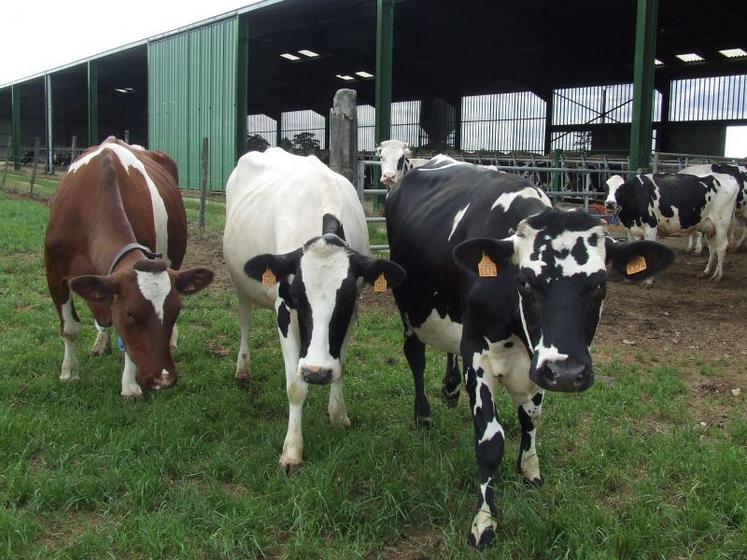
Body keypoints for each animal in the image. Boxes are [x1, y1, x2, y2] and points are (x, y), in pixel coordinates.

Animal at [44, 137, 213, 396]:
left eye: (176, 311)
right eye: (130, 314)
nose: (163, 379)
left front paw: (130, 386)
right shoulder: (54, 272)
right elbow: (70, 328)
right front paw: (69, 372)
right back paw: (101, 342)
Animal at [224, 148, 406, 472]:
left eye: (346, 299)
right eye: (297, 297)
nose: (317, 372)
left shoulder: (350, 314)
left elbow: (341, 363)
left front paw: (338, 415)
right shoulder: (284, 310)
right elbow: (295, 386)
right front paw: (292, 451)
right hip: (239, 281)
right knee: (245, 319)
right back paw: (242, 369)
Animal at [388, 155, 676, 548]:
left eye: (600, 284)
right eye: (524, 282)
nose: (568, 374)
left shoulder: (538, 363)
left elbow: (531, 418)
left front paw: (529, 469)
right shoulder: (478, 355)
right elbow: (490, 441)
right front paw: (484, 522)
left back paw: (449, 389)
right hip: (410, 310)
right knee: (415, 358)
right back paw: (424, 415)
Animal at [604, 173, 740, 282]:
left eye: (620, 189)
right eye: (606, 188)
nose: (610, 203)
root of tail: (729, 177)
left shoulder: (651, 228)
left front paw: (648, 280)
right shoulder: (629, 230)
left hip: (721, 223)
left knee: (721, 248)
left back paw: (717, 276)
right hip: (709, 227)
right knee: (713, 249)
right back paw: (706, 272)